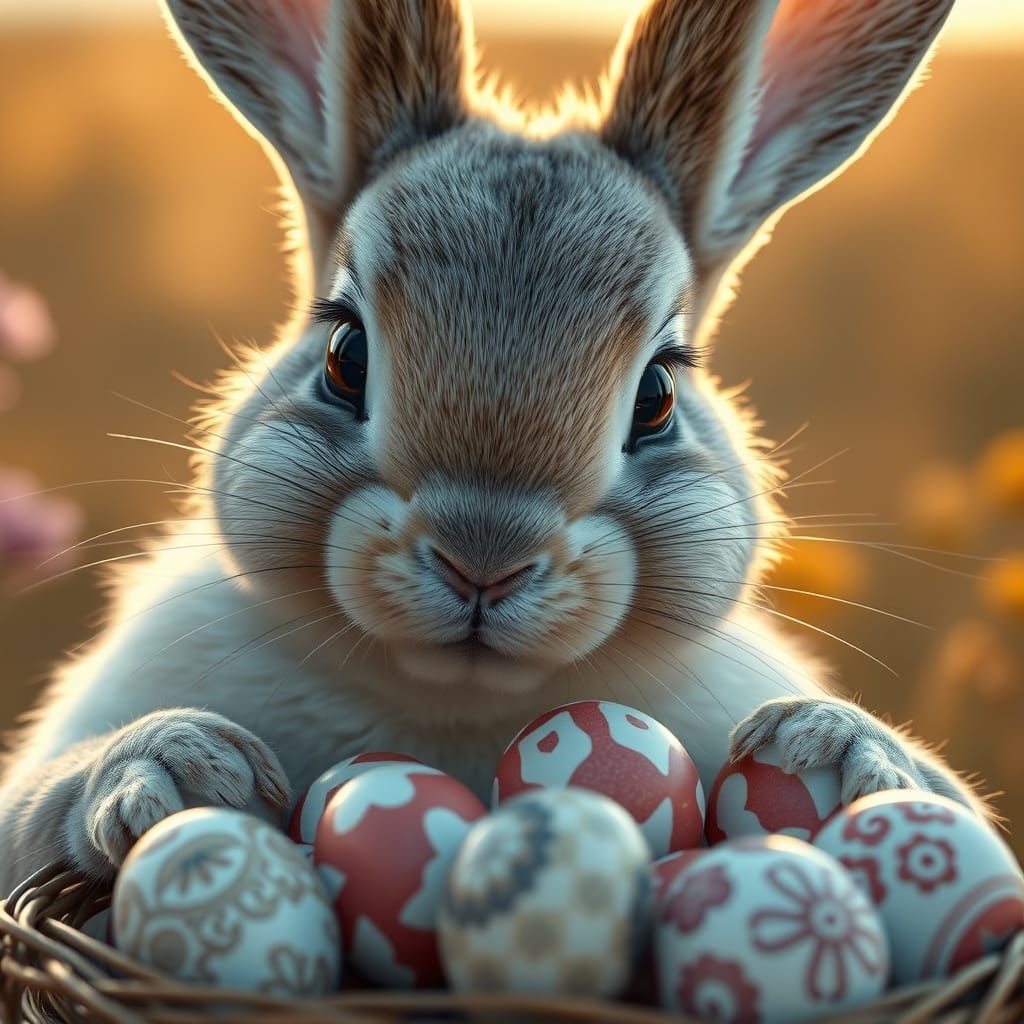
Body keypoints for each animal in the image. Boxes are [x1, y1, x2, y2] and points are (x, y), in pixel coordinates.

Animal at [0, 0, 987, 890]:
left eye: (659, 395)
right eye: (345, 355)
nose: (483, 560)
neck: (458, 703)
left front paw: (837, 748)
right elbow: (33, 807)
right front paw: (171, 766)